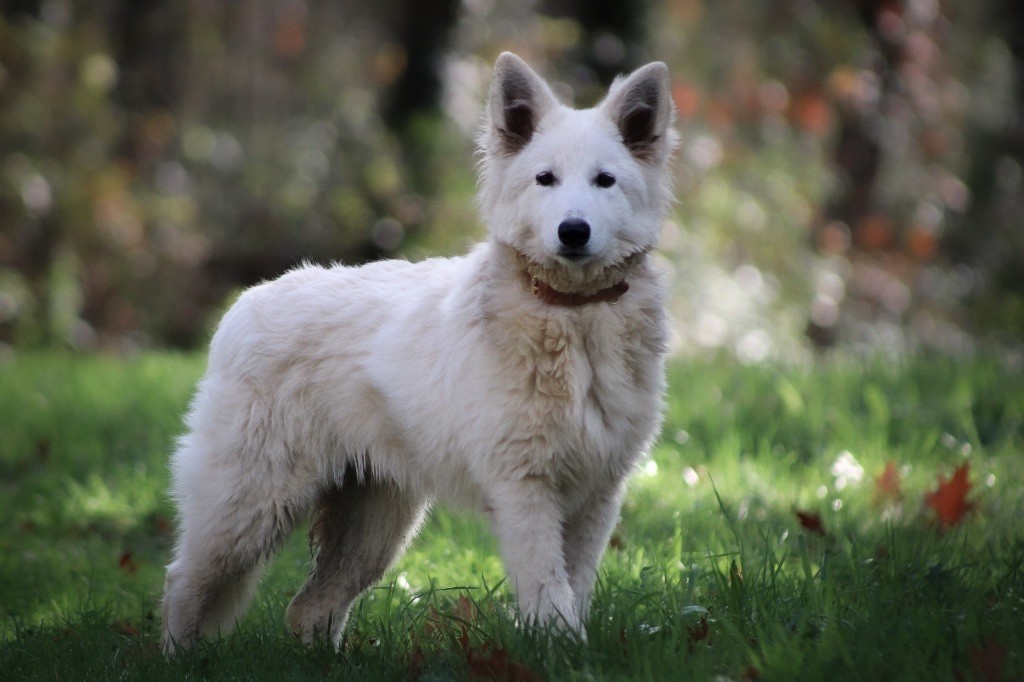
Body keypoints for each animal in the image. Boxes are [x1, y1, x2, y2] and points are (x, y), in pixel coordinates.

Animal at [161, 51, 677, 652]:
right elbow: (549, 592)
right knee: (183, 582)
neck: (571, 316)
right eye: (545, 179)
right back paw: (177, 657)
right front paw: (558, 651)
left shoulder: (597, 495)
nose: (573, 231)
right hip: (248, 506)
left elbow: (575, 586)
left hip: (375, 526)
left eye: (605, 181)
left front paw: (569, 652)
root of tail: (248, 301)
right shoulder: (524, 490)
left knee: (309, 608)